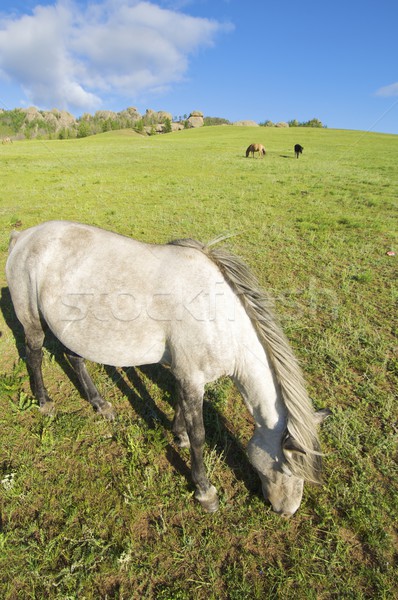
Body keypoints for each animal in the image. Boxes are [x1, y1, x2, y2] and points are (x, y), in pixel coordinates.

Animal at [7, 220, 330, 516]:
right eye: (288, 469)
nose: (287, 511)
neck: (217, 316)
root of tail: (23, 236)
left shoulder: (183, 372)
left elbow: (179, 404)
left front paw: (179, 435)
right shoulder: (193, 377)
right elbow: (200, 435)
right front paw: (205, 491)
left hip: (74, 330)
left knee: (74, 358)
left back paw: (100, 404)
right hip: (31, 319)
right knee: (34, 354)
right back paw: (45, 402)